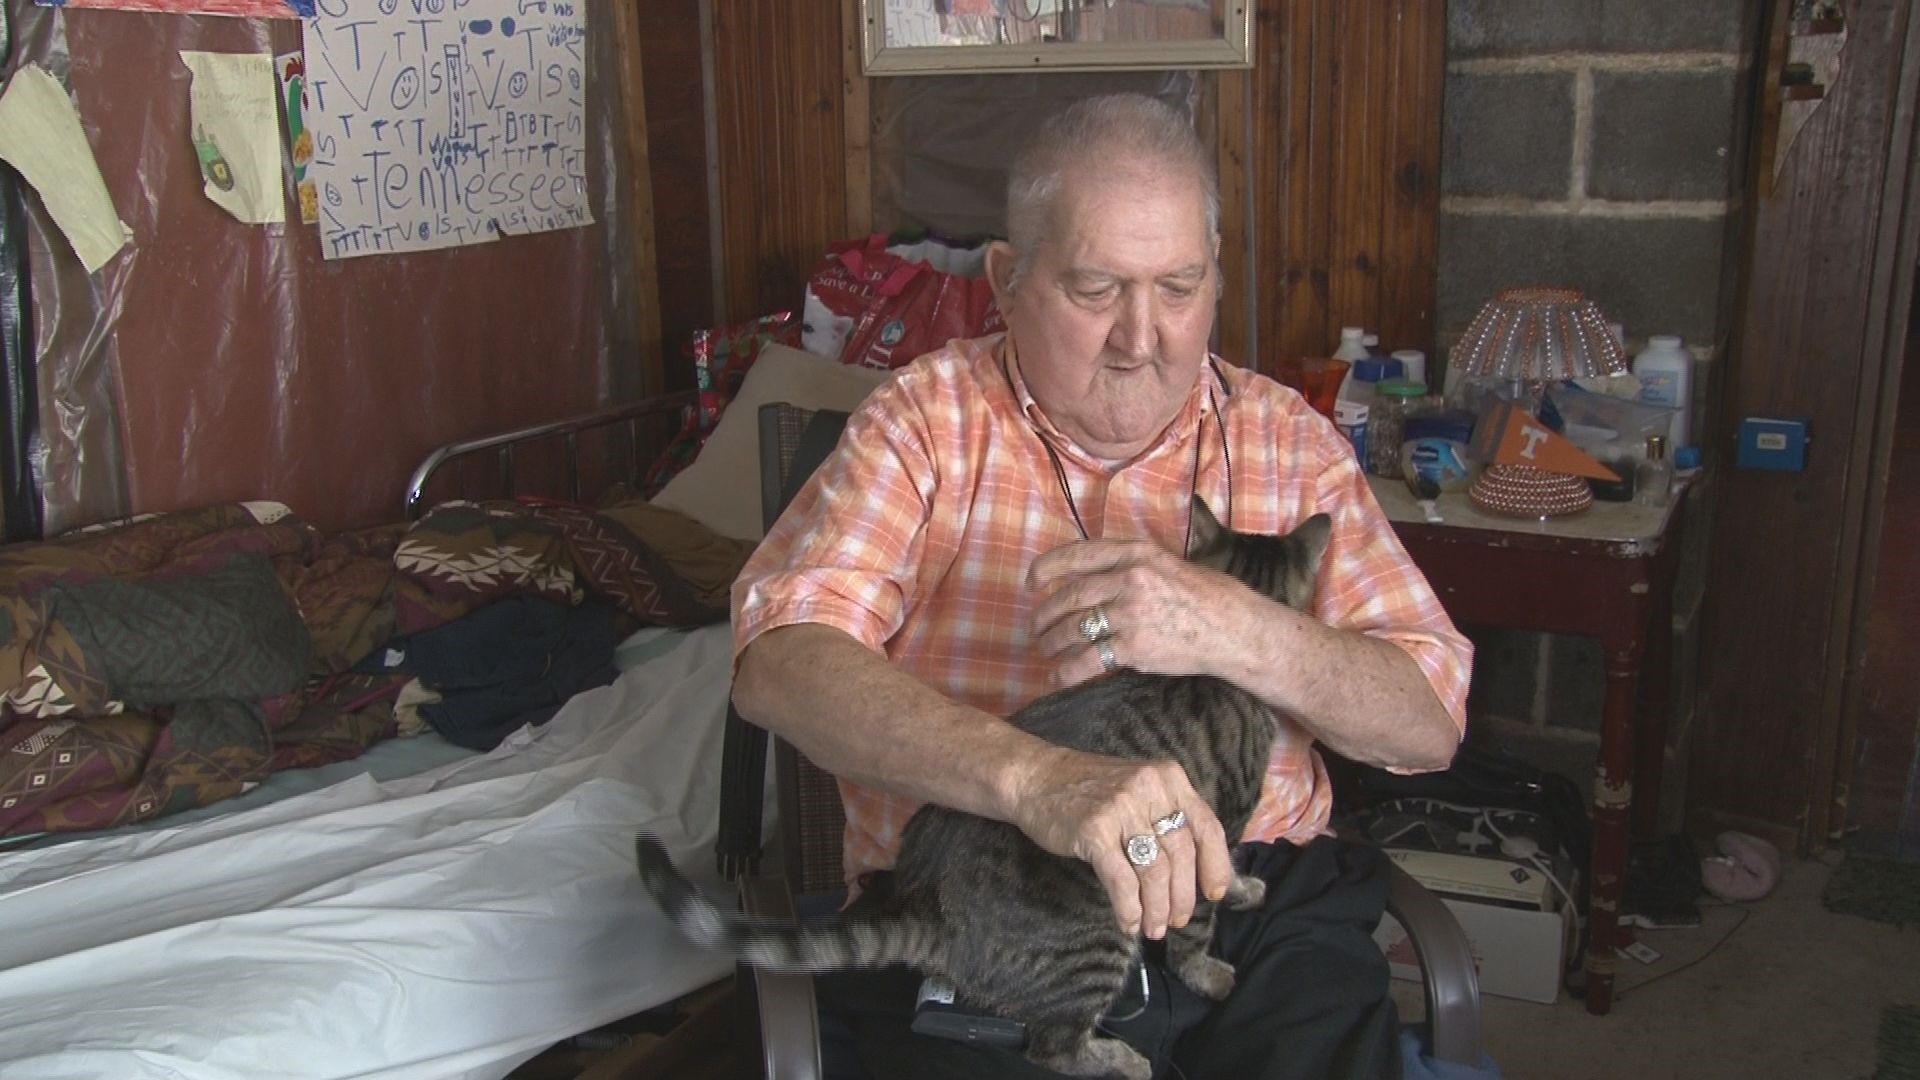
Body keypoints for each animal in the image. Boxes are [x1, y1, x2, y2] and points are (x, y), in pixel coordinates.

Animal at [637, 499, 1328, 1076]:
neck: (1213, 666)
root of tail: (932, 912)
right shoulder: (1215, 819)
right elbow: (1201, 912)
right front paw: (1208, 967)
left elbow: (1226, 874)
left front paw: (1243, 887)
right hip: (1101, 937)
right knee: (1052, 1046)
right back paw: (1123, 1060)